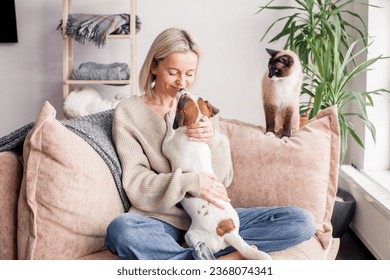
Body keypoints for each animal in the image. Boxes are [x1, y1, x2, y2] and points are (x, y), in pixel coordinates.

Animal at [161, 90, 272, 260]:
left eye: (183, 99)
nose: (181, 89)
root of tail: (228, 231)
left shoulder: (167, 145)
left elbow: (169, 133)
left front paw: (169, 119)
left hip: (191, 236)